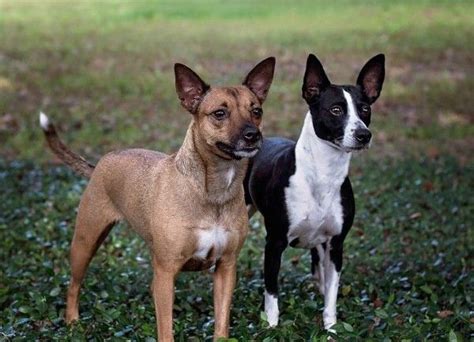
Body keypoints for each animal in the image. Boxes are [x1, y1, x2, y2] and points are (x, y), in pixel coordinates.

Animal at [40, 57, 276, 340]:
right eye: (220, 113)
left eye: (257, 111)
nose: (253, 135)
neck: (212, 190)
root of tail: (100, 164)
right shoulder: (165, 272)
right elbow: (166, 330)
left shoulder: (226, 268)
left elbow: (221, 323)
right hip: (85, 241)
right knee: (73, 284)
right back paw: (72, 322)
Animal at [244, 54, 386, 330]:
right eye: (336, 110)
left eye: (365, 109)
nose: (363, 134)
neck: (322, 173)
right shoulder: (274, 244)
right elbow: (271, 292)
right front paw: (271, 326)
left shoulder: (335, 245)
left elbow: (332, 292)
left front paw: (331, 328)